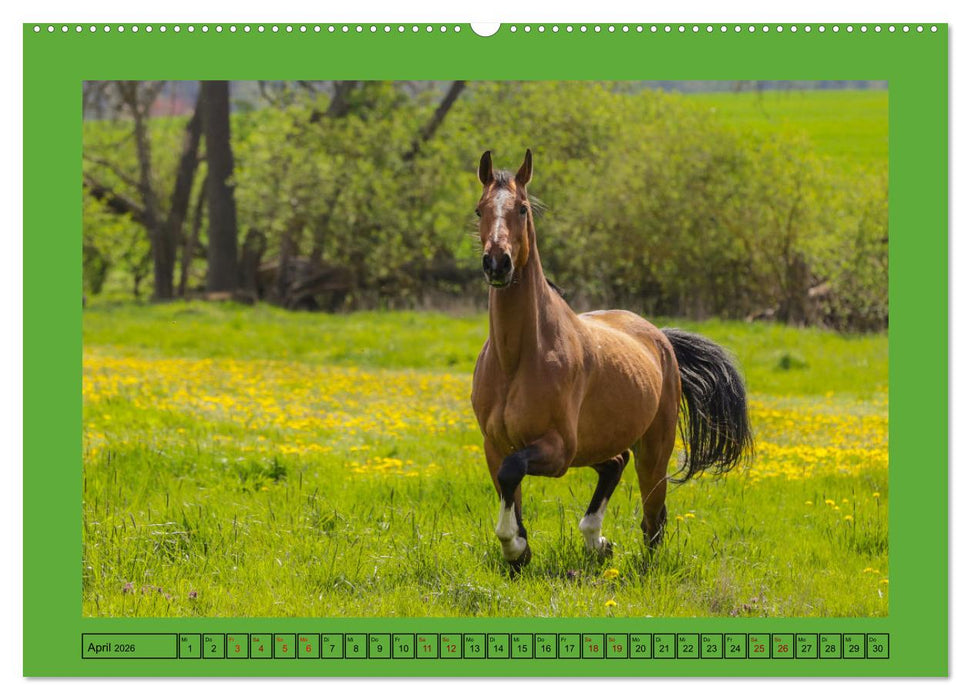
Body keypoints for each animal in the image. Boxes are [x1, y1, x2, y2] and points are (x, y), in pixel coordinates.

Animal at [470, 149, 753, 572]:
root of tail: (660, 339)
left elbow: (513, 471)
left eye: (522, 208)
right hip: (598, 445)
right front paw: (518, 550)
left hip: (653, 452)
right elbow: (508, 483)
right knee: (615, 465)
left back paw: (634, 562)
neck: (516, 359)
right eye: (480, 209)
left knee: (653, 517)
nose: (497, 263)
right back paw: (597, 541)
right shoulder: (496, 445)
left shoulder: (558, 448)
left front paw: (515, 545)